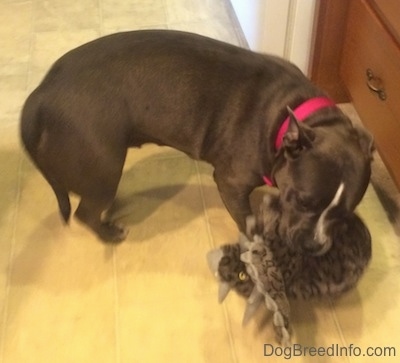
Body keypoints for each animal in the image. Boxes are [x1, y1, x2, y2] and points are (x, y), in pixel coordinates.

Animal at [20, 30, 374, 250]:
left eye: (345, 216)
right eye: (302, 201)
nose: (314, 245)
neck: (291, 111)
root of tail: (41, 94)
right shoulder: (231, 183)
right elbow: (247, 220)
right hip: (104, 167)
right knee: (85, 213)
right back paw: (109, 233)